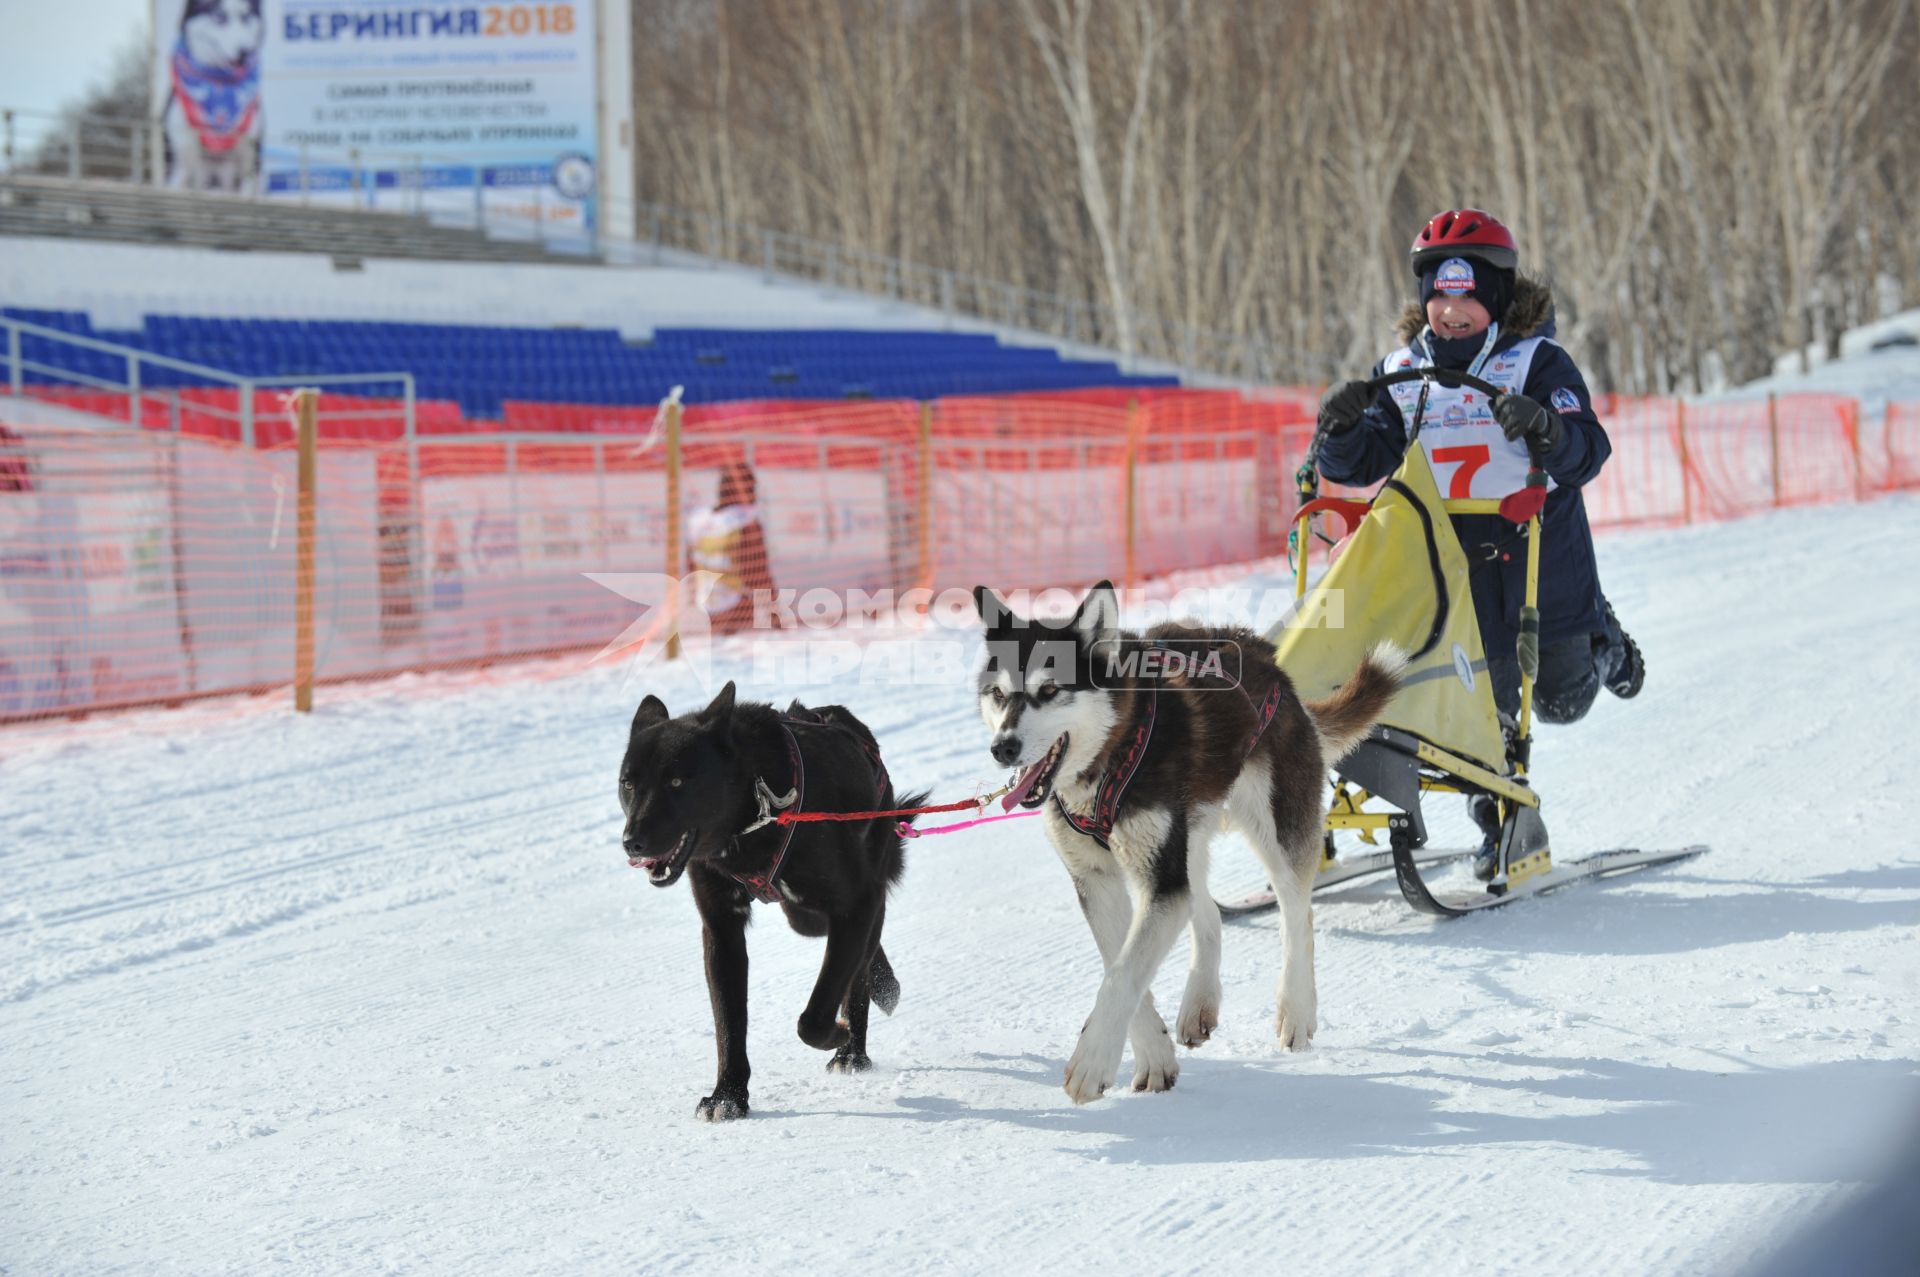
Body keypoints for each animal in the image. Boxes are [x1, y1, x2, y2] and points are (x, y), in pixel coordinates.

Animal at [614, 675, 913, 1113]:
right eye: (629, 784)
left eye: (676, 781)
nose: (631, 843)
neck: (755, 811)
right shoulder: (722, 928)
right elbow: (728, 1021)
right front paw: (729, 1096)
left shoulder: (857, 901)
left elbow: (815, 1014)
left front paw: (837, 1035)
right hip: (805, 914)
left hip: (853, 893)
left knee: (857, 961)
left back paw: (852, 1050)